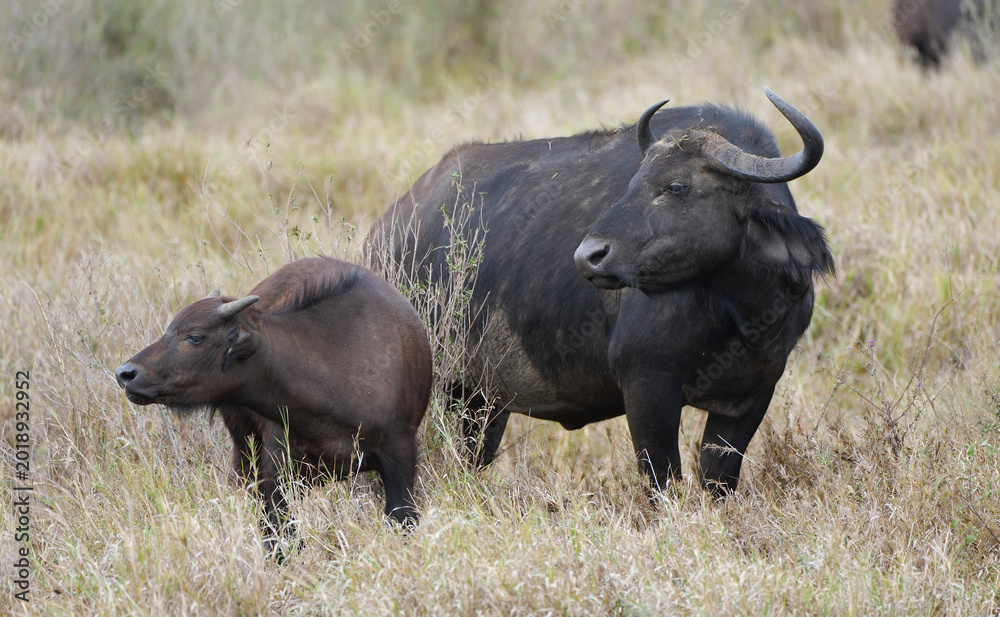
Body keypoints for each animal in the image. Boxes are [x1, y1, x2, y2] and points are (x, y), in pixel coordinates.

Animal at [115, 256, 432, 554]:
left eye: (195, 337)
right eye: (170, 328)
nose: (126, 373)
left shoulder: (401, 457)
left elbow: (402, 519)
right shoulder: (276, 470)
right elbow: (279, 535)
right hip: (245, 449)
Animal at [369, 87, 834, 498]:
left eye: (676, 186)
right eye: (635, 181)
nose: (589, 256)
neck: (739, 311)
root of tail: (384, 232)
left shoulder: (750, 398)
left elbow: (718, 483)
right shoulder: (647, 388)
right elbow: (662, 483)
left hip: (480, 404)